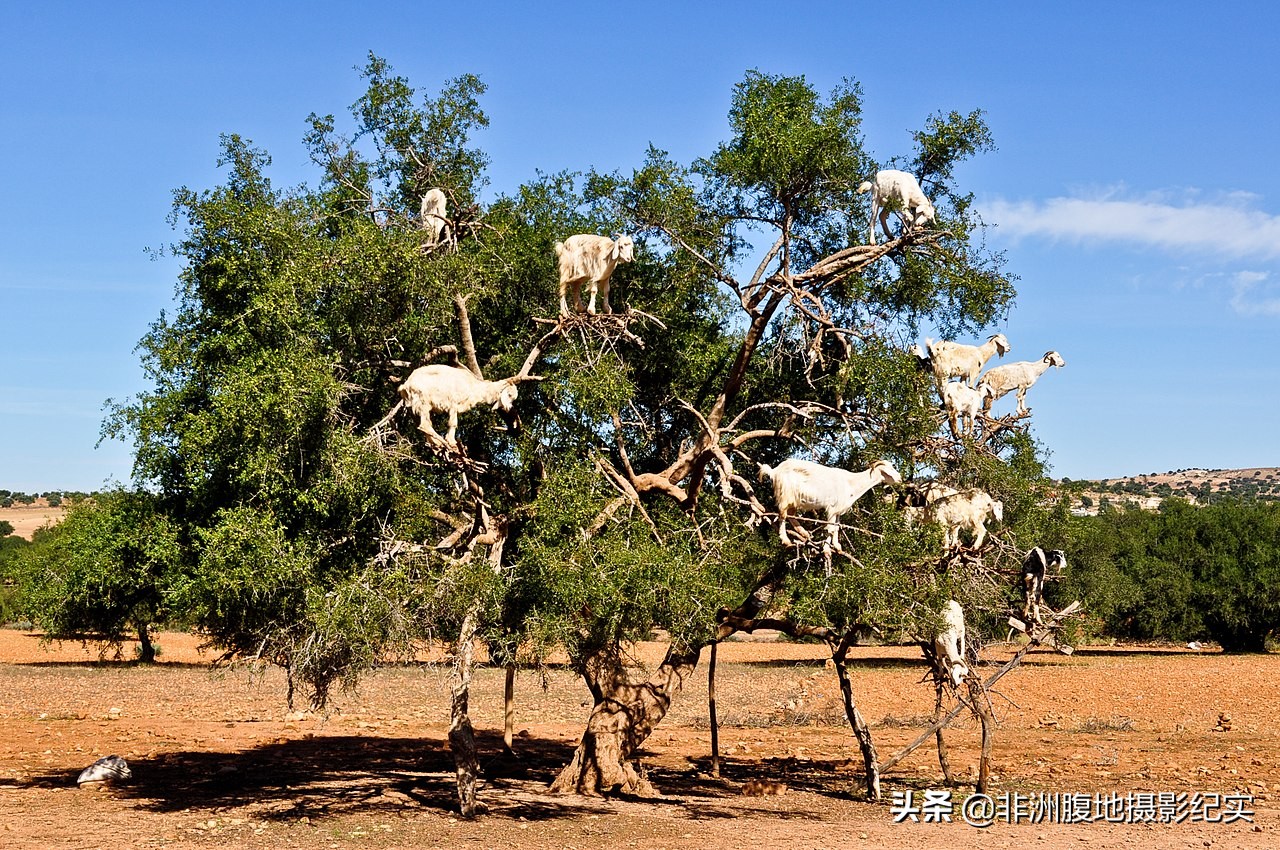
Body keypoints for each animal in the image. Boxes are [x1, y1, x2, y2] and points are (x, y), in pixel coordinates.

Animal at [752, 460, 906, 547]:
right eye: (890, 469)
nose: (900, 478)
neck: (851, 483)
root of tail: (775, 471)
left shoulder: (838, 511)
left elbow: (836, 527)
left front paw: (837, 546)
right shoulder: (832, 508)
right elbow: (831, 529)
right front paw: (830, 547)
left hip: (794, 500)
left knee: (791, 515)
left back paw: (804, 533)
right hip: (785, 495)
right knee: (783, 516)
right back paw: (786, 539)